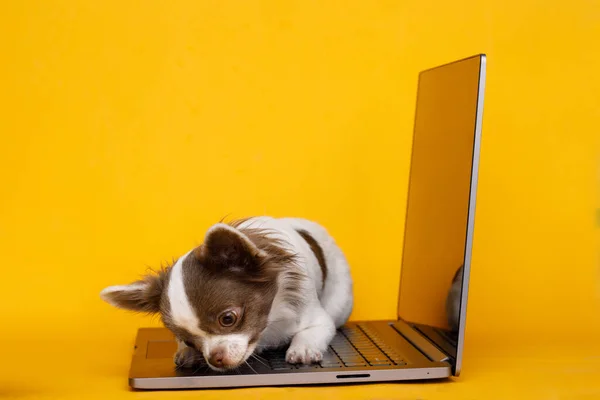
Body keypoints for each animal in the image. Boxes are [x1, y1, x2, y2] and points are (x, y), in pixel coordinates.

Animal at [98, 217, 352, 370]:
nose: (215, 359)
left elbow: (312, 332)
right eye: (187, 339)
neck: (269, 326)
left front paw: (302, 349)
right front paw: (188, 354)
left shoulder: (317, 319)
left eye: (227, 319)